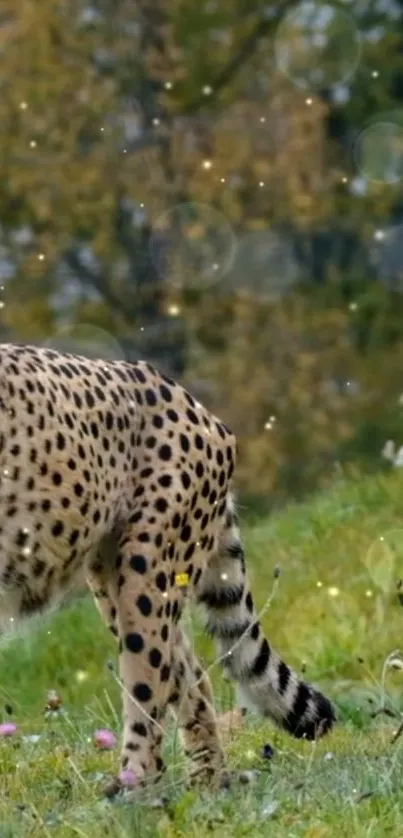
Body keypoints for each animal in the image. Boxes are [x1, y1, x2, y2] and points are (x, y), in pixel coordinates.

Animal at [0, 344, 336, 792]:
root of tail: (183, 394)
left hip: (145, 568)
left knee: (150, 684)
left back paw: (135, 784)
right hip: (112, 578)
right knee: (191, 674)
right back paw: (208, 781)